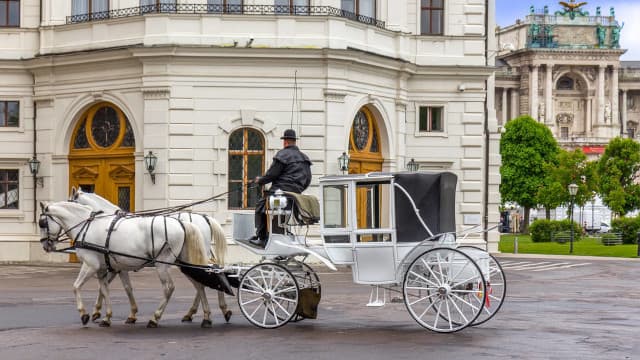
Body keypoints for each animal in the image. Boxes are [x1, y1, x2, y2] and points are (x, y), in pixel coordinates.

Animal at [40, 201, 212, 328]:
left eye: (42, 223)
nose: (45, 245)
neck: (87, 227)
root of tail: (182, 223)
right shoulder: (107, 268)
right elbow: (108, 289)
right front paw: (107, 317)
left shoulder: (91, 265)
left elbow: (76, 286)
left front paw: (84, 314)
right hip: (184, 263)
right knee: (199, 284)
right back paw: (205, 317)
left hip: (162, 265)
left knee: (169, 288)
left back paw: (155, 318)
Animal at [70, 188, 230, 324]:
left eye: (70, 200)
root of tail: (205, 218)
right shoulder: (116, 266)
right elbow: (113, 287)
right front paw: (102, 311)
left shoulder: (116, 266)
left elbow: (108, 287)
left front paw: (98, 312)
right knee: (208, 276)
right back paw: (207, 311)